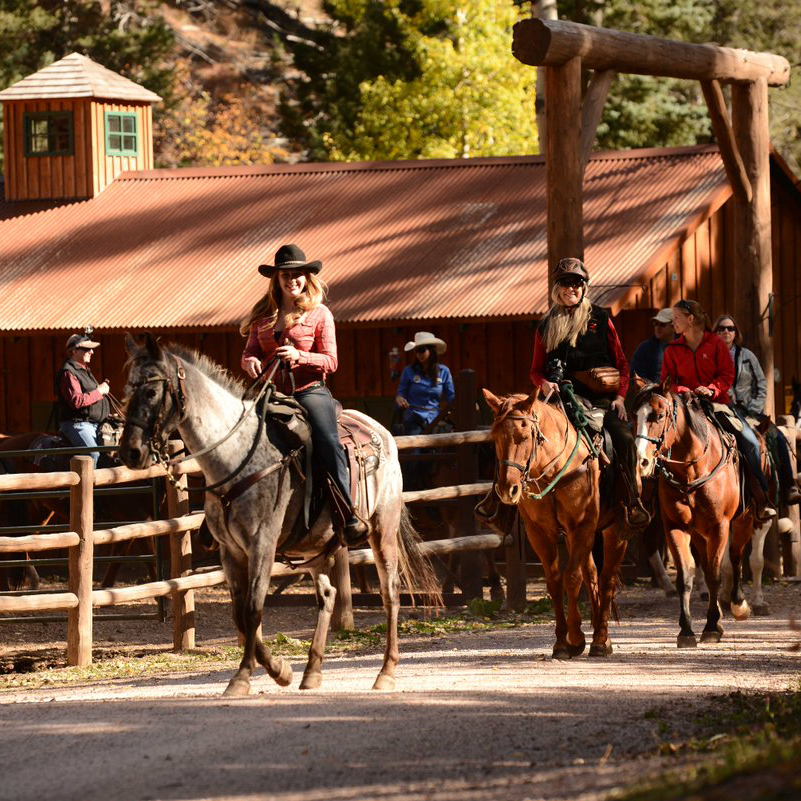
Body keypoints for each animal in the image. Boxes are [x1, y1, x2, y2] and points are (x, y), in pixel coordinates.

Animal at [120, 332, 438, 692]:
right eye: (127, 390)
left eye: (151, 391)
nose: (130, 452)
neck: (239, 456)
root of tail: (381, 432)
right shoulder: (230, 551)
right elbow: (239, 614)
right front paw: (280, 669)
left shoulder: (262, 544)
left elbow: (253, 609)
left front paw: (244, 677)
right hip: (316, 547)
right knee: (328, 595)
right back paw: (312, 672)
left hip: (382, 529)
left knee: (390, 594)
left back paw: (386, 672)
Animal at [478, 386, 628, 656]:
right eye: (495, 438)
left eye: (525, 436)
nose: (508, 489)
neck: (554, 469)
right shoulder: (540, 533)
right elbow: (555, 582)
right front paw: (561, 642)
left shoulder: (581, 526)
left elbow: (572, 578)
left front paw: (576, 638)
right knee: (591, 573)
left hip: (615, 529)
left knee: (607, 577)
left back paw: (601, 640)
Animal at [632, 378, 752, 648]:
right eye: (636, 416)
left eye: (660, 415)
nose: (642, 461)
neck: (692, 471)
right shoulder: (675, 527)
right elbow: (685, 577)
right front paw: (687, 630)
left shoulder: (720, 526)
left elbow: (716, 575)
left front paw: (710, 627)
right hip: (699, 533)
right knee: (706, 565)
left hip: (742, 522)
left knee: (735, 556)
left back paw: (738, 605)